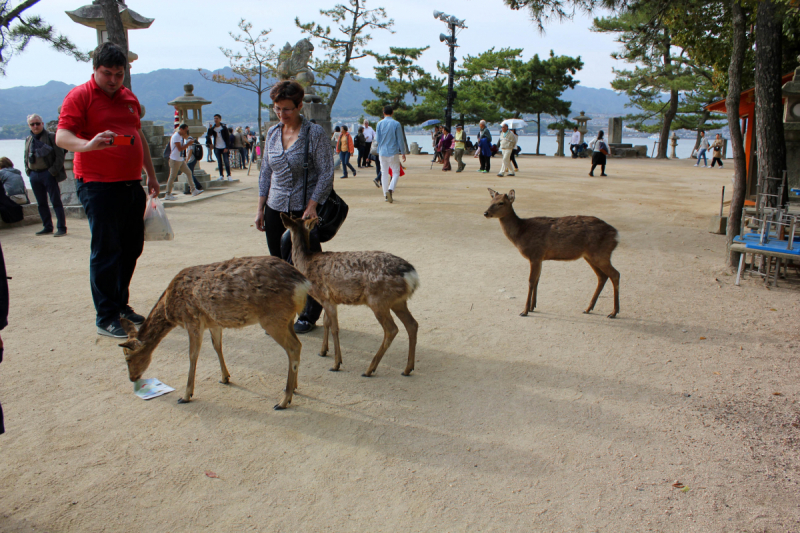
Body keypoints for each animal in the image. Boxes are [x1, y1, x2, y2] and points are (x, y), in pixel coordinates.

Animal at [120, 256, 310, 410]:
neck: (170, 309)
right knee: (298, 345)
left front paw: (186, 395)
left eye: (127, 358)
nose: (132, 378)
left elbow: (193, 355)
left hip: (273, 318)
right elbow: (217, 346)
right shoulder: (213, 322)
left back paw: (283, 401)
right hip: (287, 318)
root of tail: (303, 283)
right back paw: (293, 387)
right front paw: (225, 377)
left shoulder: (192, 320)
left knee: (293, 347)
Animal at [280, 213, 422, 378]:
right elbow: (326, 322)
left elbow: (334, 328)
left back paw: (369, 369)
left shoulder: (325, 297)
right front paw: (323, 351)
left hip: (378, 300)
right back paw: (407, 368)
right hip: (398, 301)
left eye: (286, 230)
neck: (306, 263)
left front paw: (336, 364)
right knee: (412, 324)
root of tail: (411, 275)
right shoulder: (330, 299)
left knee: (392, 329)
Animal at [482, 189, 620, 318]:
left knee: (615, 274)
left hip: (601, 254)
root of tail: (616, 235)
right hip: (590, 256)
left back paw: (613, 312)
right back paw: (588, 308)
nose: (485, 213)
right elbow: (537, 280)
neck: (521, 234)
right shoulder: (540, 257)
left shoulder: (535, 254)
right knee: (602, 276)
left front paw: (524, 311)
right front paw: (532, 307)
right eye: (491, 201)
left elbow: (531, 281)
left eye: (501, 202)